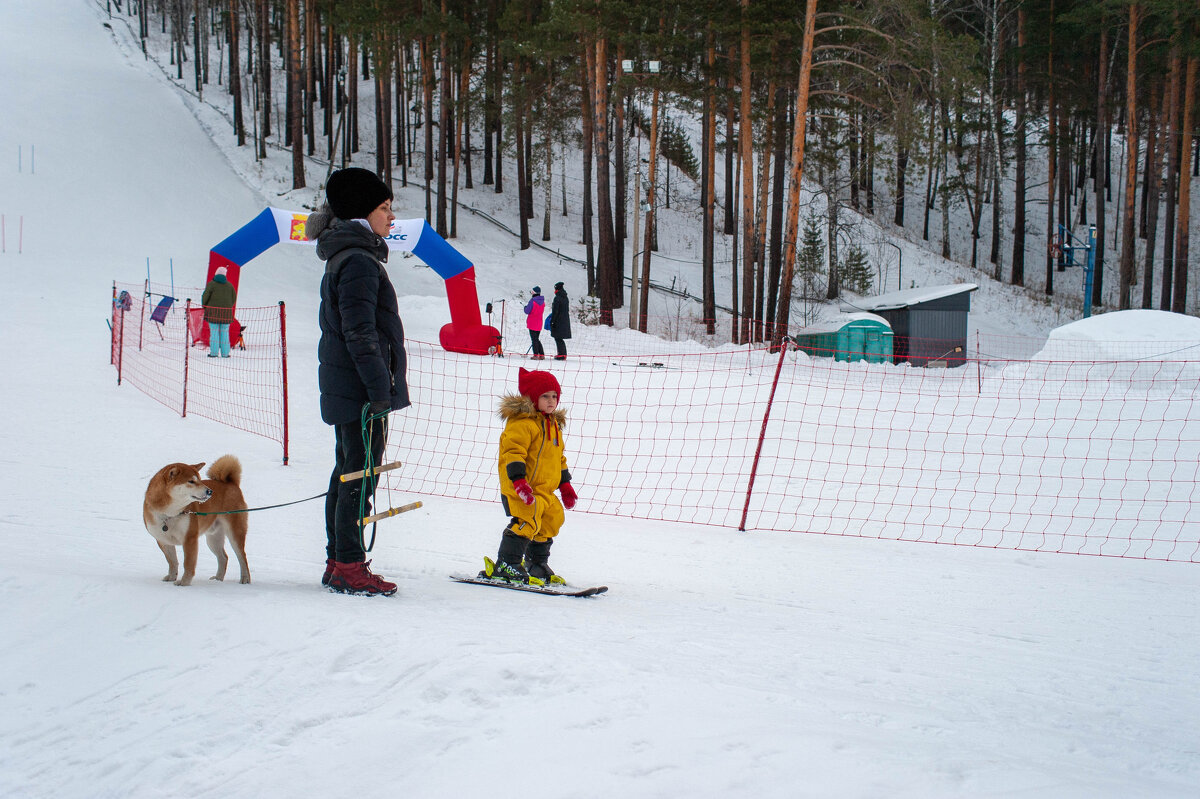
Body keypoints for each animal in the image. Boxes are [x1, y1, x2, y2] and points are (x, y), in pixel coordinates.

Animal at [142, 453, 250, 585]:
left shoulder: (190, 538)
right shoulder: (163, 540)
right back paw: (218, 579)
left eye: (199, 479)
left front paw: (184, 583)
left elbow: (188, 564)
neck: (170, 514)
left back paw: (245, 578)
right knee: (223, 557)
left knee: (242, 557)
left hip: (235, 533)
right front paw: (172, 577)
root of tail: (231, 484)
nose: (210, 491)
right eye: (191, 481)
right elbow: (172, 562)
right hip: (213, 539)